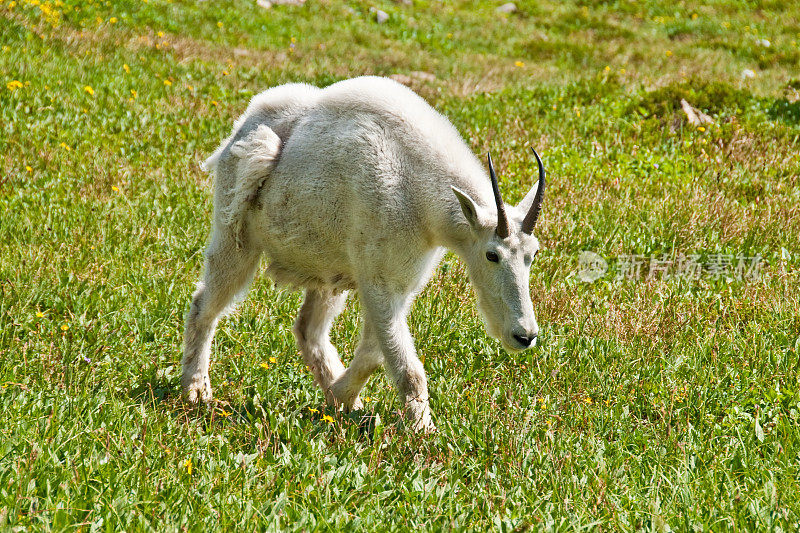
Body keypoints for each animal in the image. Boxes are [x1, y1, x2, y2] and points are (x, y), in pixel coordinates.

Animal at [181, 76, 544, 432]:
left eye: (533, 254)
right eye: (492, 255)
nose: (524, 336)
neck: (418, 188)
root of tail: (243, 124)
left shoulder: (397, 283)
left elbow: (374, 353)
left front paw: (339, 396)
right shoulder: (380, 281)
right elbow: (407, 368)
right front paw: (423, 431)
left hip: (328, 268)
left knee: (308, 330)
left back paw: (340, 402)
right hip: (235, 233)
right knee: (204, 305)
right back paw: (195, 390)